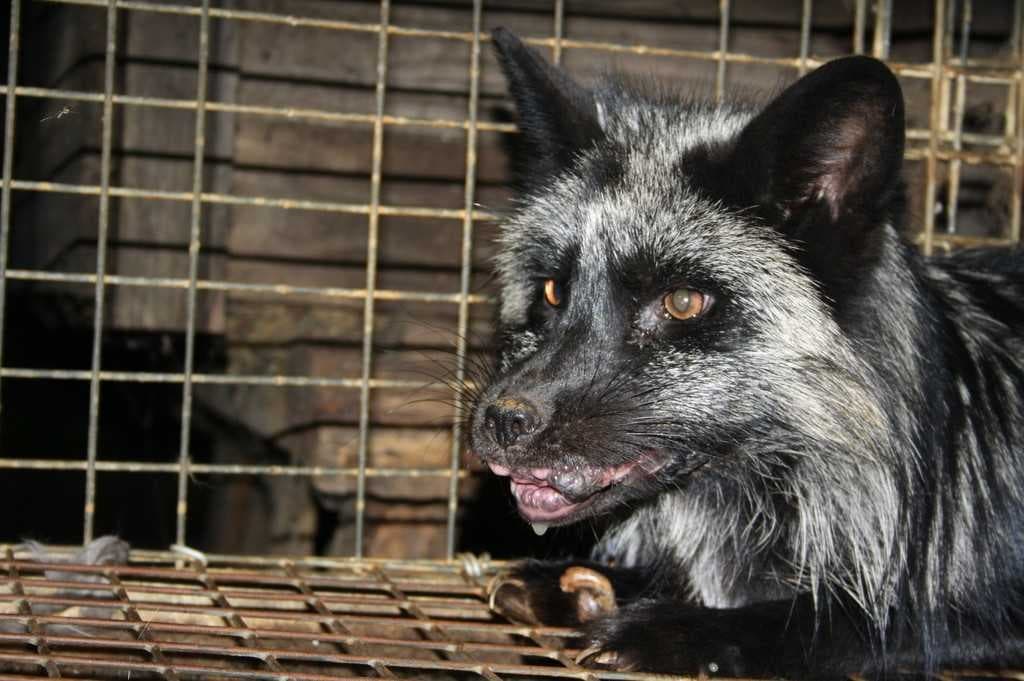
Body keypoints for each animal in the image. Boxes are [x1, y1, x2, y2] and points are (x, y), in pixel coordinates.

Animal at [468, 28, 1024, 679]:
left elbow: (849, 621)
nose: (500, 422)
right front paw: (589, 585)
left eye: (683, 302)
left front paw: (679, 629)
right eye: (554, 291)